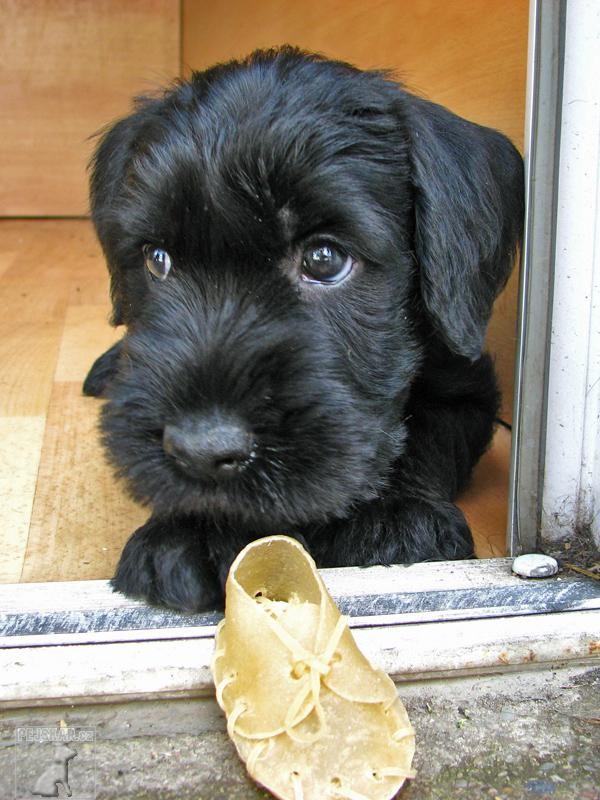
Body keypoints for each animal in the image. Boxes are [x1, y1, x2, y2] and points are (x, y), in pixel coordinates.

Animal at [85, 47, 524, 608]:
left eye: (324, 259)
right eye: (157, 259)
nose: (201, 450)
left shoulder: (468, 389)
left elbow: (425, 430)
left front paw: (396, 511)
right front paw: (195, 528)